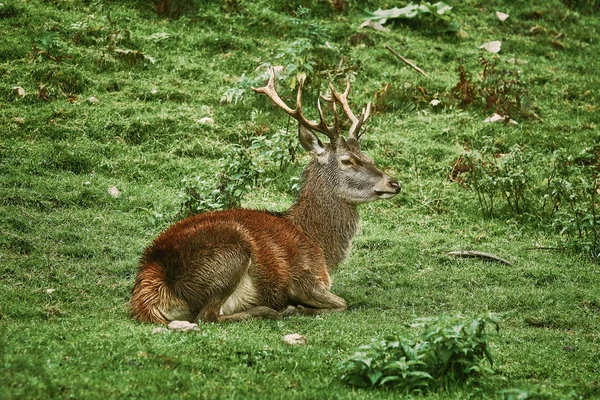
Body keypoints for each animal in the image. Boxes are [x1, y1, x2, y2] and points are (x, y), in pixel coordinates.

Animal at [129, 69, 400, 324]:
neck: (318, 243)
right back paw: (272, 310)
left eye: (368, 157)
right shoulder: (304, 277)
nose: (394, 183)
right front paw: (297, 308)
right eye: (347, 160)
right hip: (229, 254)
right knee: (207, 315)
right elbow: (342, 303)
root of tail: (150, 290)